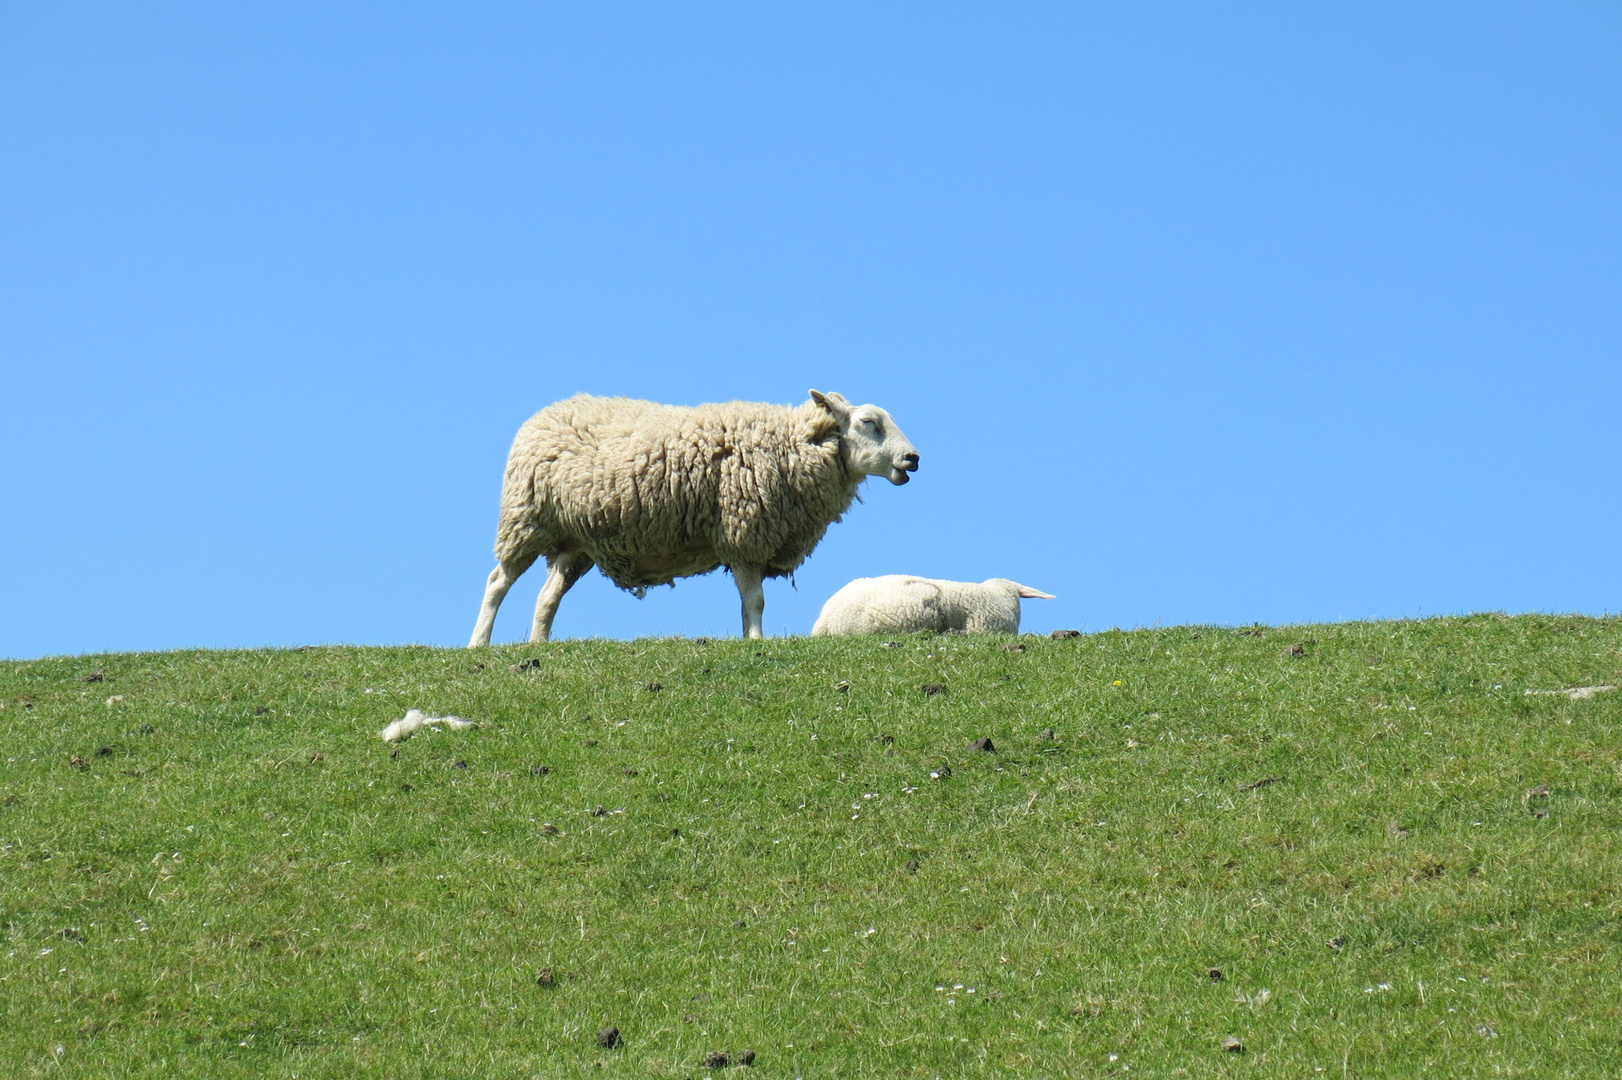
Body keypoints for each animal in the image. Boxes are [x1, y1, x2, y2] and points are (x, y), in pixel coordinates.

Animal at [473, 389, 921, 642]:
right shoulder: (744, 533)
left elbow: (746, 603)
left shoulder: (747, 542)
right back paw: (479, 643)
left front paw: (747, 639)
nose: (912, 459)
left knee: (547, 597)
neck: (794, 444)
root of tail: (543, 413)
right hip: (525, 520)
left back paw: (539, 646)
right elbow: (756, 601)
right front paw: (758, 641)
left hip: (576, 544)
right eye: (869, 423)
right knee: (497, 582)